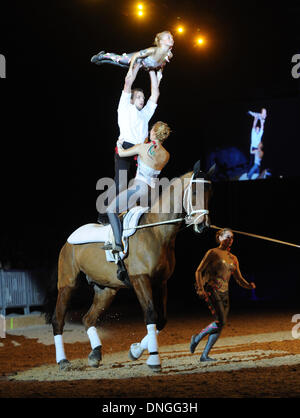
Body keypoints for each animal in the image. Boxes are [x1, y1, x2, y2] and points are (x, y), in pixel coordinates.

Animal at [45, 164, 212, 372]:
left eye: (210, 192)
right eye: (195, 191)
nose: (203, 225)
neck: (156, 232)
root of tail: (68, 242)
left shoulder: (161, 282)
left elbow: (161, 320)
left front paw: (135, 351)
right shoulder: (140, 279)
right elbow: (150, 314)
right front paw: (153, 360)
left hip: (106, 290)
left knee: (88, 319)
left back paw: (95, 354)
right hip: (68, 285)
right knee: (58, 320)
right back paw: (63, 361)